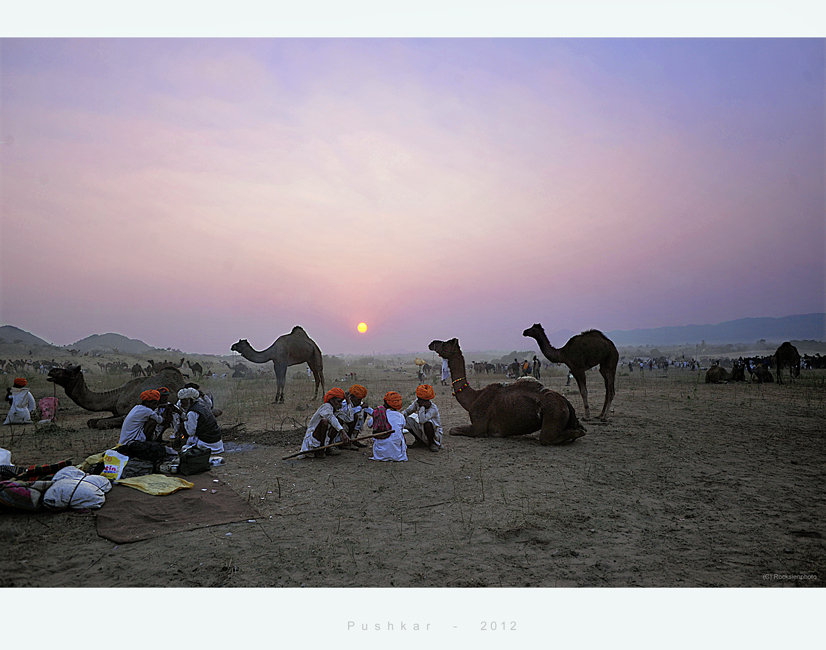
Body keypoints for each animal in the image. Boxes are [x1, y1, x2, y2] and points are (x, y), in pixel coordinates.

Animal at [48, 362, 185, 428]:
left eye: (68, 371)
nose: (51, 371)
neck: (117, 396)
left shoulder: (128, 411)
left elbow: (101, 423)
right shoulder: (116, 412)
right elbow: (91, 421)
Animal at [428, 336, 584, 442]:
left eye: (445, 343)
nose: (432, 343)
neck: (473, 398)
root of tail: (565, 402)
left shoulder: (478, 427)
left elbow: (452, 429)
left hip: (553, 413)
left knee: (551, 437)